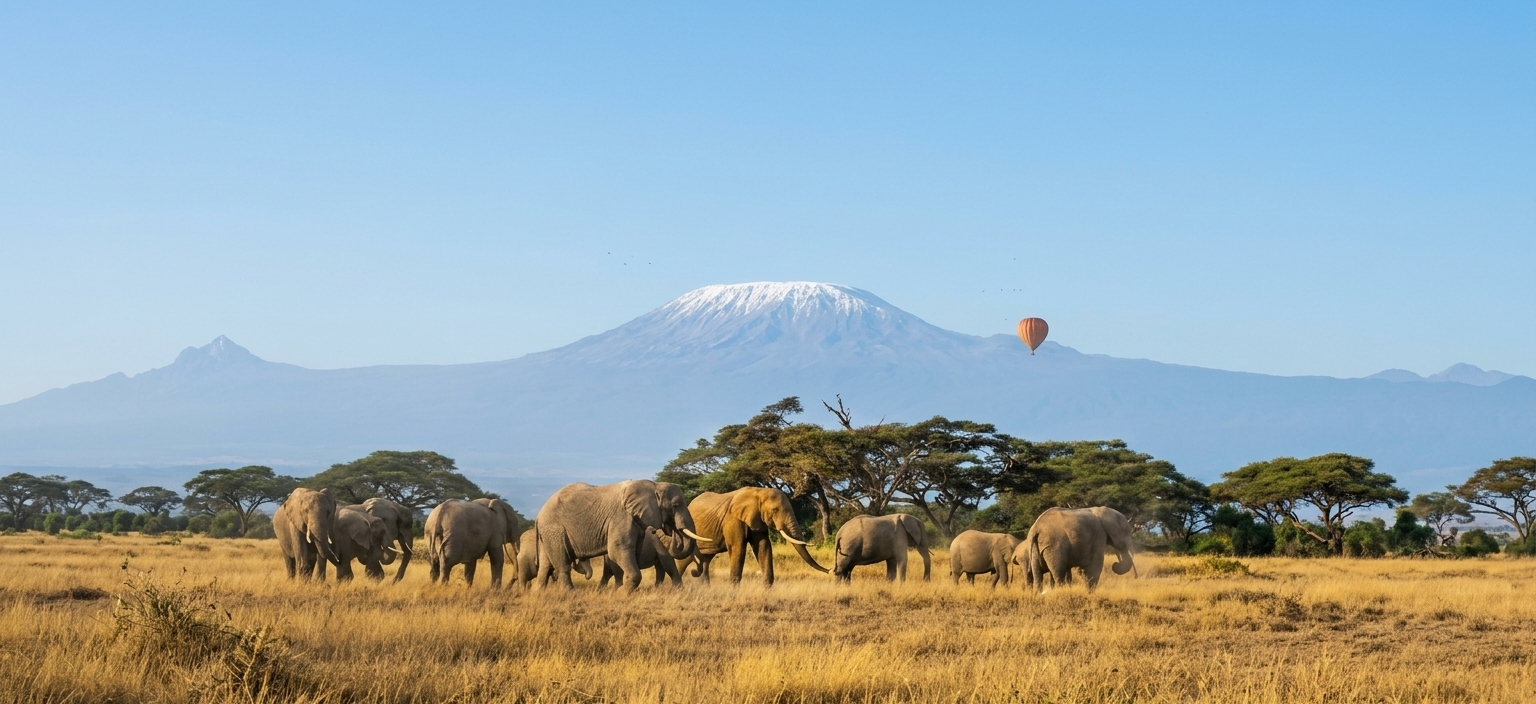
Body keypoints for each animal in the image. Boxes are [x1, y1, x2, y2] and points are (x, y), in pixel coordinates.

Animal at [535, 479, 710, 591]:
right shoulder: (622, 517)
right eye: (675, 505)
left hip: (547, 533)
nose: (667, 528)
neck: (653, 485)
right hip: (555, 529)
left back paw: (540, 594)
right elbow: (617, 549)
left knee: (545, 565)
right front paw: (622, 592)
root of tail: (538, 515)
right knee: (561, 563)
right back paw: (570, 593)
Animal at [682, 487, 829, 586]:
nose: (830, 570)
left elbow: (764, 547)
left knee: (704, 560)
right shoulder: (732, 519)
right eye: (775, 510)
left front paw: (767, 590)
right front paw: (733, 591)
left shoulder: (758, 519)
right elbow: (738, 548)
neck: (758, 491)